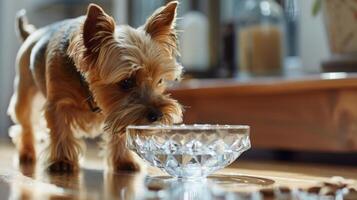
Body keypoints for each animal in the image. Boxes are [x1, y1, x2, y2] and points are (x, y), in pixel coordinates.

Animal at [8, 1, 182, 172]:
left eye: (159, 81)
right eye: (126, 82)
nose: (158, 115)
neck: (88, 90)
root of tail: (31, 34)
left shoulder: (118, 112)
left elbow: (120, 131)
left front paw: (124, 160)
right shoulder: (58, 104)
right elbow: (60, 130)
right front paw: (62, 160)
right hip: (24, 92)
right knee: (26, 124)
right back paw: (27, 152)